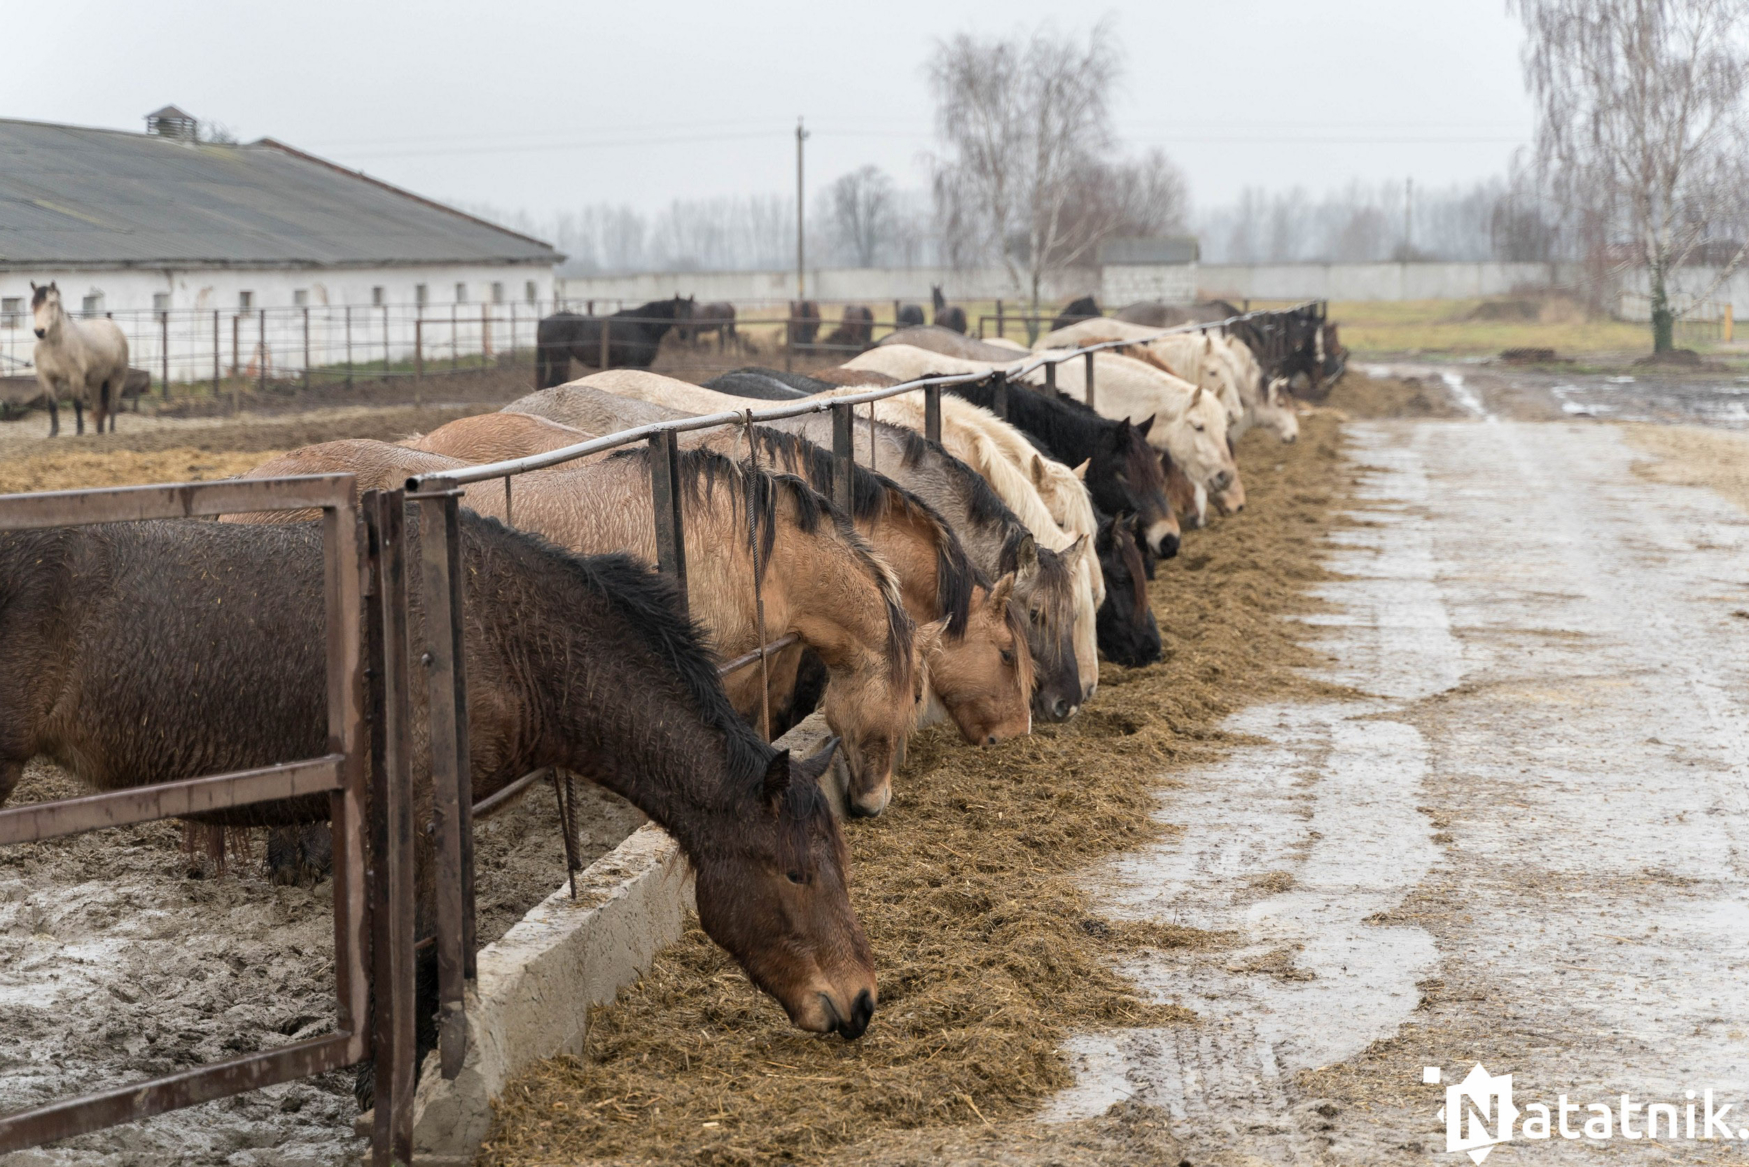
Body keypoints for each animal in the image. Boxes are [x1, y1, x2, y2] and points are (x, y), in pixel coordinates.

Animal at [28, 279, 127, 435]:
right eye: (33, 304)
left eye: (51, 303)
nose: (40, 331)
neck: (55, 346)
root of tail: (114, 327)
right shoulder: (45, 378)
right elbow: (52, 404)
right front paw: (53, 432)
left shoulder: (76, 377)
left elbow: (77, 403)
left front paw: (79, 431)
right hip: (95, 383)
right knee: (99, 407)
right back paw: (100, 432)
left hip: (117, 378)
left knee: (112, 405)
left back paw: (111, 432)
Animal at [531, 297, 696, 388]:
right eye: (677, 311)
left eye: (690, 312)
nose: (683, 333)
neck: (643, 325)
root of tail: (544, 320)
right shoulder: (633, 364)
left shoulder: (645, 364)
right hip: (561, 360)